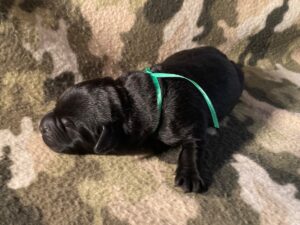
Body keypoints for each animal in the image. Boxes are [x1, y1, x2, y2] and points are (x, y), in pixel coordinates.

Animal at [39, 46, 244, 192]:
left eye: (69, 126)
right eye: (57, 105)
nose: (42, 126)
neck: (129, 101)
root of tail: (228, 59)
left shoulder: (189, 121)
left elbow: (192, 145)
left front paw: (189, 176)